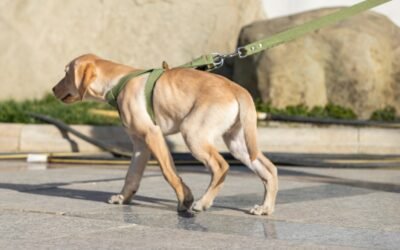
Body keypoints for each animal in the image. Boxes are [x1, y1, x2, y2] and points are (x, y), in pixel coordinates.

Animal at [52, 54, 278, 215]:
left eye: (66, 73)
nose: (53, 89)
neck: (119, 81)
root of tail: (236, 88)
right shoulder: (139, 144)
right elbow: (132, 176)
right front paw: (123, 198)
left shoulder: (153, 134)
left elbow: (168, 171)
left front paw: (185, 199)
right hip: (238, 143)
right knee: (269, 169)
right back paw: (265, 208)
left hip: (193, 133)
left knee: (221, 166)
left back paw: (203, 203)